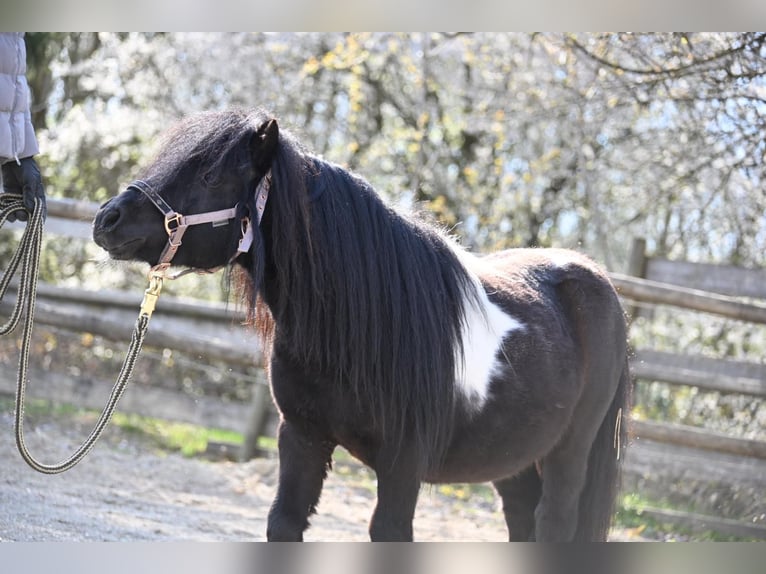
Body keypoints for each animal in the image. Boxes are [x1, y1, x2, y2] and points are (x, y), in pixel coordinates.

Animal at [91, 109, 632, 544]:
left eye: (207, 174)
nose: (106, 219)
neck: (359, 326)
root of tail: (597, 281)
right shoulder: (302, 437)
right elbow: (284, 523)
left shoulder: (403, 463)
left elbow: (389, 532)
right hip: (512, 457)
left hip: (570, 451)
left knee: (554, 523)